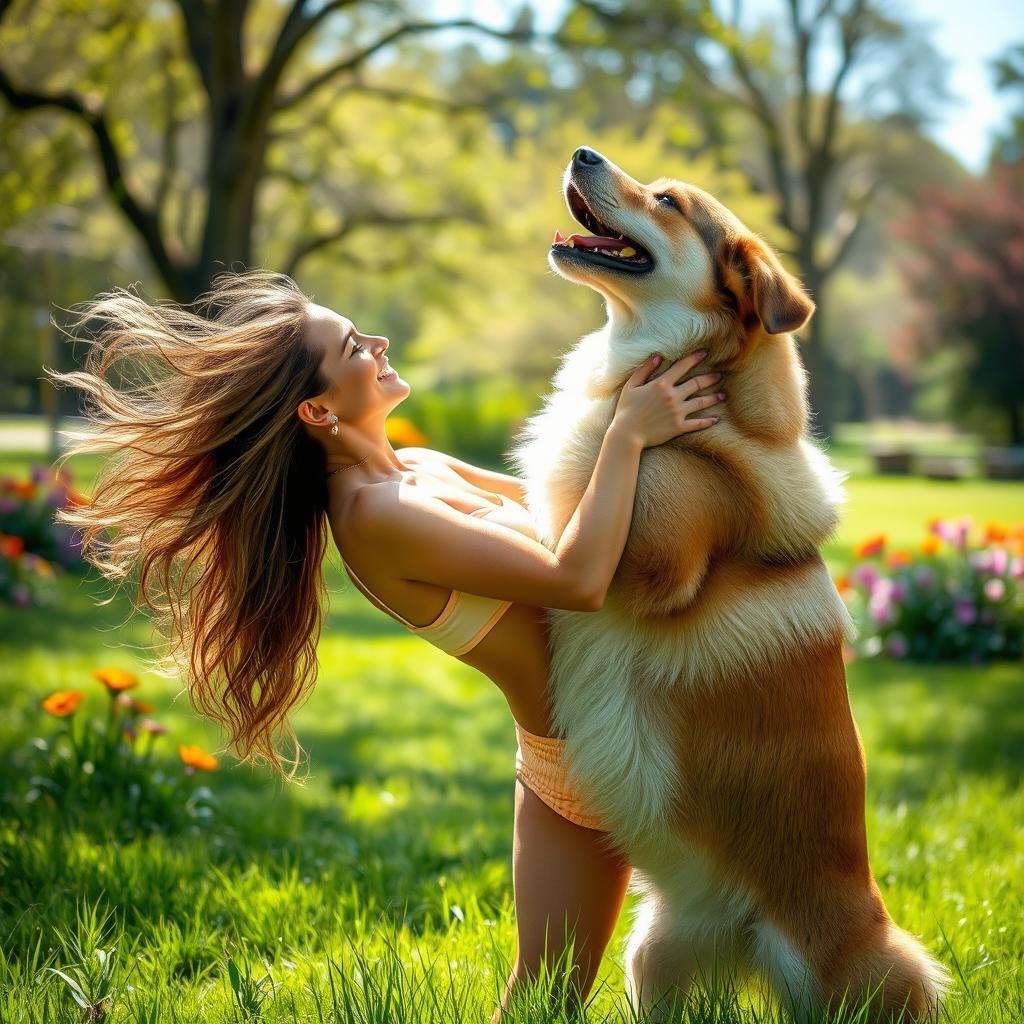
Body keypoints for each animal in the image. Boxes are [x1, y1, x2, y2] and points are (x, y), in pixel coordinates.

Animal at [512, 148, 950, 1019]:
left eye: (669, 200)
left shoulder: (648, 560)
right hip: (653, 960)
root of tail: (745, 946)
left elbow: (571, 525)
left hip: (864, 970)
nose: (582, 152)